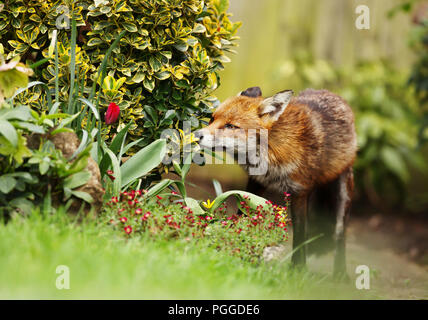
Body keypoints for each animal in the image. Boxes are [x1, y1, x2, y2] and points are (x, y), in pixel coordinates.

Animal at [196, 87, 356, 276]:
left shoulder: (300, 191)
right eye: (212, 119)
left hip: (343, 194)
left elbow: (300, 235)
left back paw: (340, 273)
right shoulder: (255, 182)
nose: (196, 134)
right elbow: (242, 216)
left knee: (339, 234)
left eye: (230, 126)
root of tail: (332, 94)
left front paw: (297, 270)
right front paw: (235, 247)